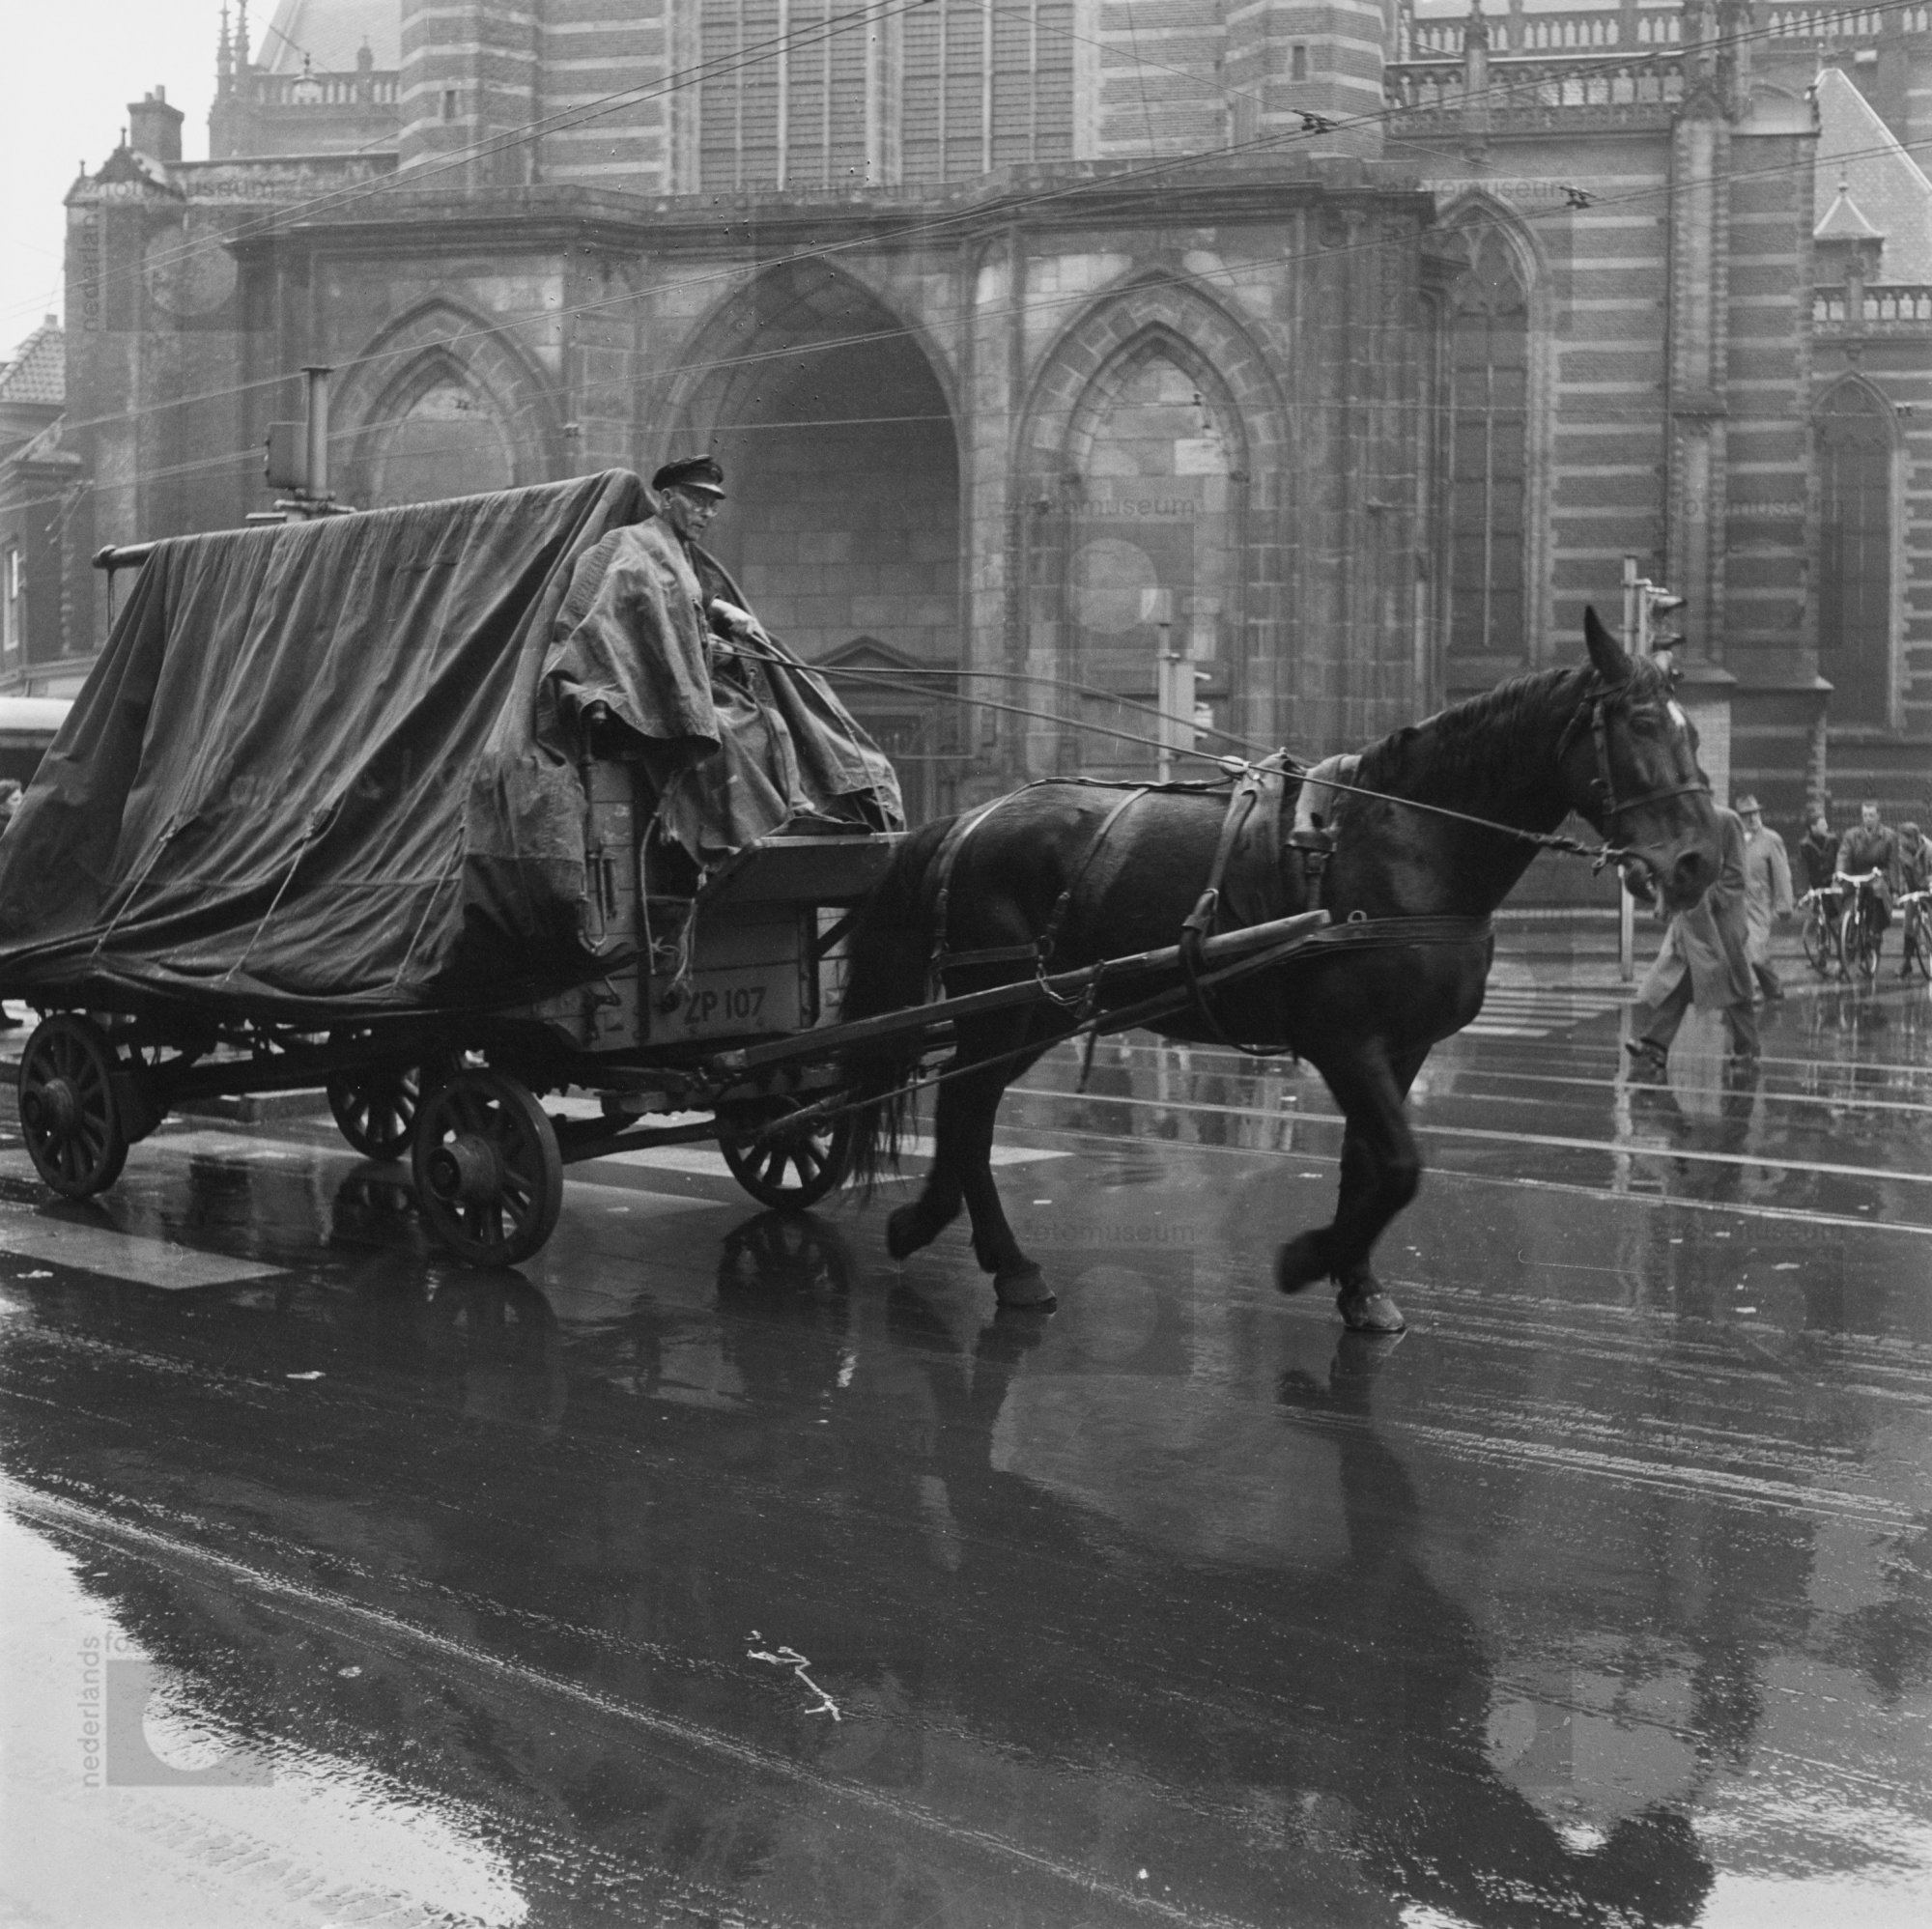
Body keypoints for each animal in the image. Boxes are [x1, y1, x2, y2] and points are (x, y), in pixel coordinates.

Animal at [837, 609, 1721, 1332]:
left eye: (1693, 731)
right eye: (1641, 722)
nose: (1699, 861)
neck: (1406, 840)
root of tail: (968, 819)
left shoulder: (1403, 1047)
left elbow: (1368, 1163)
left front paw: (1358, 1285)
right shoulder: (1344, 1040)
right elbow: (1400, 1166)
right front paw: (1308, 1259)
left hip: (1038, 1012)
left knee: (964, 1105)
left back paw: (933, 1225)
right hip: (1000, 1006)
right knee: (967, 1108)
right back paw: (1009, 1263)